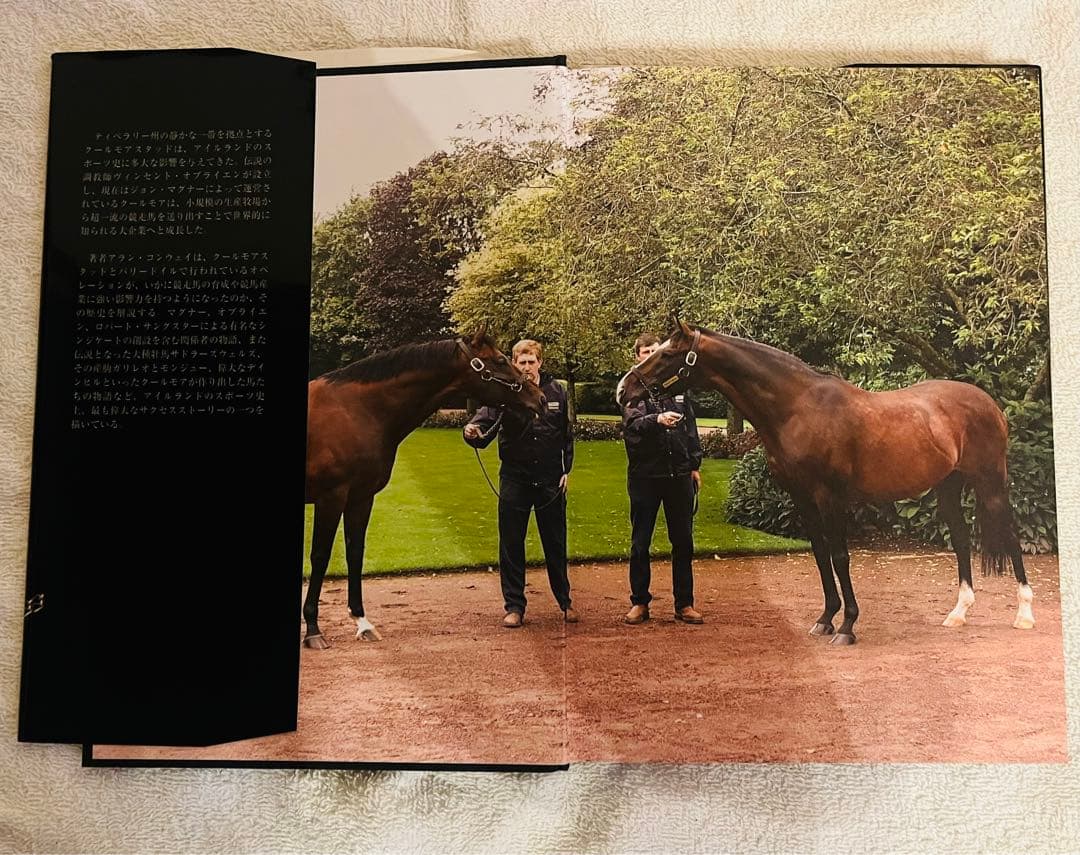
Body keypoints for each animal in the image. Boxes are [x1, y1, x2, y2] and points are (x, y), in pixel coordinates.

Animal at [303, 327, 546, 648]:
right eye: (500, 360)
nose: (540, 398)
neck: (357, 410)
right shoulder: (331, 497)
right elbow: (320, 556)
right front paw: (313, 629)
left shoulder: (360, 497)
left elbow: (355, 552)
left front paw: (362, 621)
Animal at [616, 318, 1035, 644]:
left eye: (667, 354)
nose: (623, 390)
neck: (798, 407)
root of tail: (989, 403)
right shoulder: (802, 498)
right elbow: (819, 556)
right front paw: (825, 619)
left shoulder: (830, 497)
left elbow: (839, 557)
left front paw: (847, 625)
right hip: (949, 486)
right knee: (962, 541)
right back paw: (958, 613)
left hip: (991, 482)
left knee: (1012, 535)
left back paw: (1025, 614)